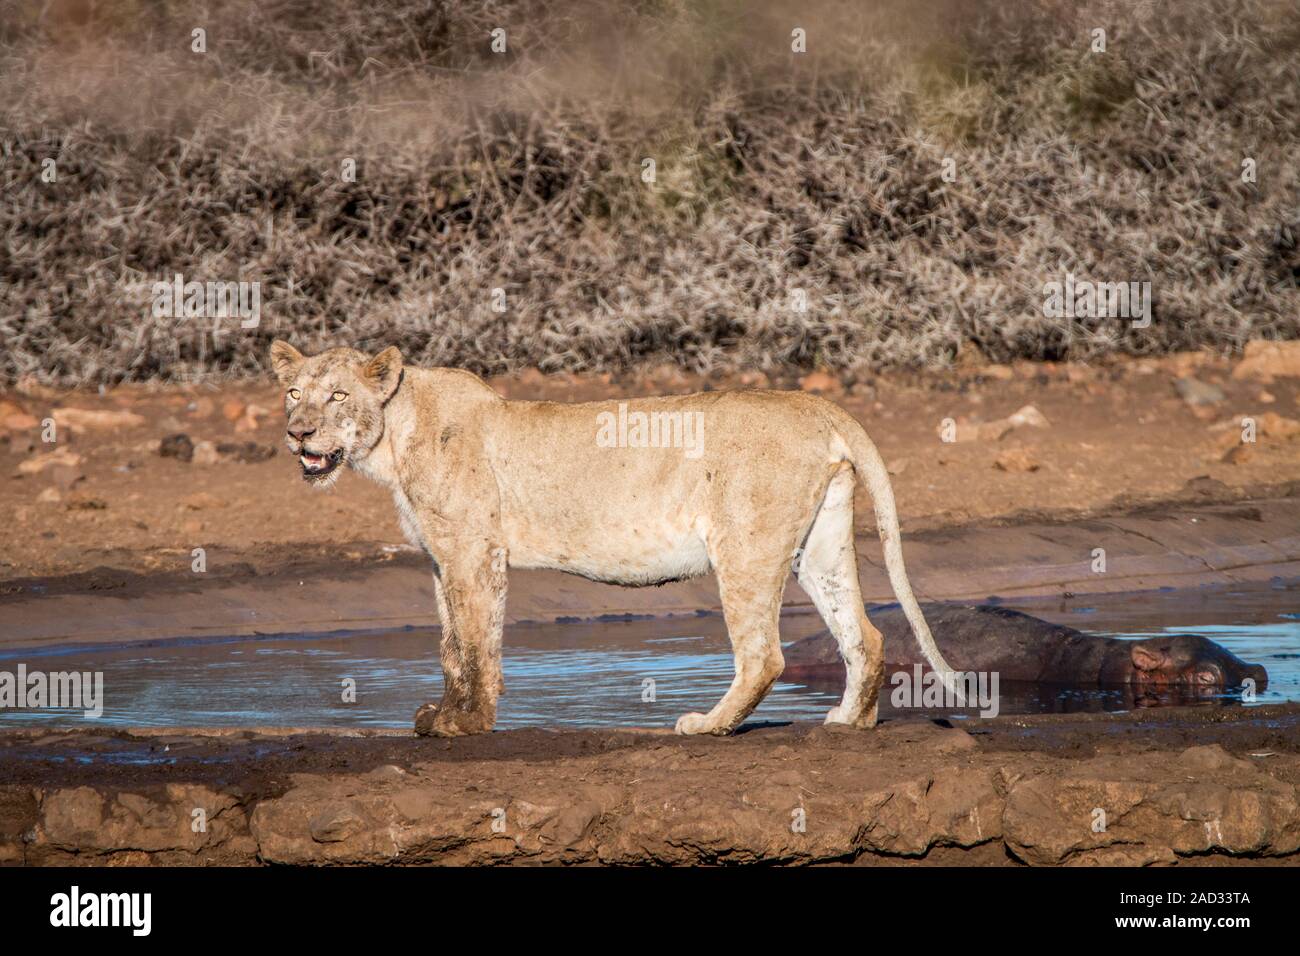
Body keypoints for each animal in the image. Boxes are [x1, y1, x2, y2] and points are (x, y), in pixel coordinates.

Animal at [269, 341, 961, 736]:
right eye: (293, 393)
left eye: (338, 395)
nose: (298, 434)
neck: (392, 437)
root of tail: (815, 406)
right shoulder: (442, 560)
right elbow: (448, 646)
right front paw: (443, 715)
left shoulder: (473, 552)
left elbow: (474, 643)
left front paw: (464, 726)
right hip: (818, 545)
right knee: (865, 635)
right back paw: (849, 721)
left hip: (744, 545)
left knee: (764, 655)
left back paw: (706, 726)